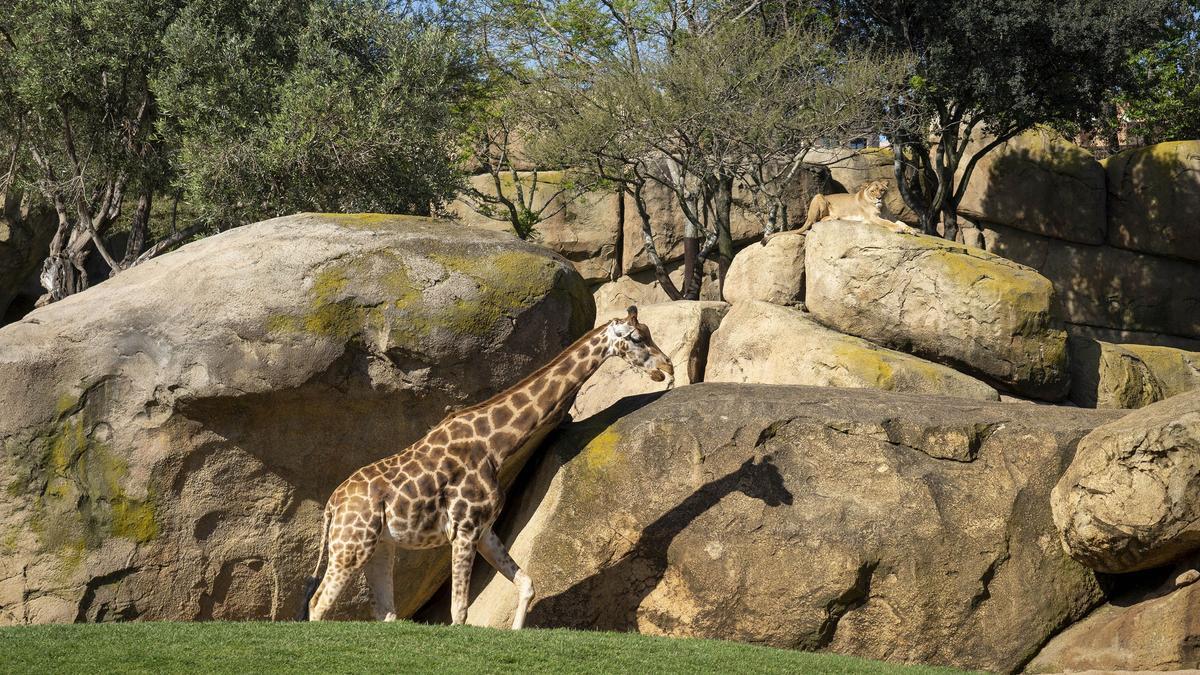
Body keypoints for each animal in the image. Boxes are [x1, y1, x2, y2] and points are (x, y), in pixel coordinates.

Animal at [300, 305, 676, 624]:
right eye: (637, 338)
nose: (668, 368)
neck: (494, 445)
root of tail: (332, 504)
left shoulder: (484, 530)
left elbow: (527, 585)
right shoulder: (464, 529)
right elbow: (459, 611)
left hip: (379, 546)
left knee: (385, 611)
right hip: (352, 544)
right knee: (318, 604)